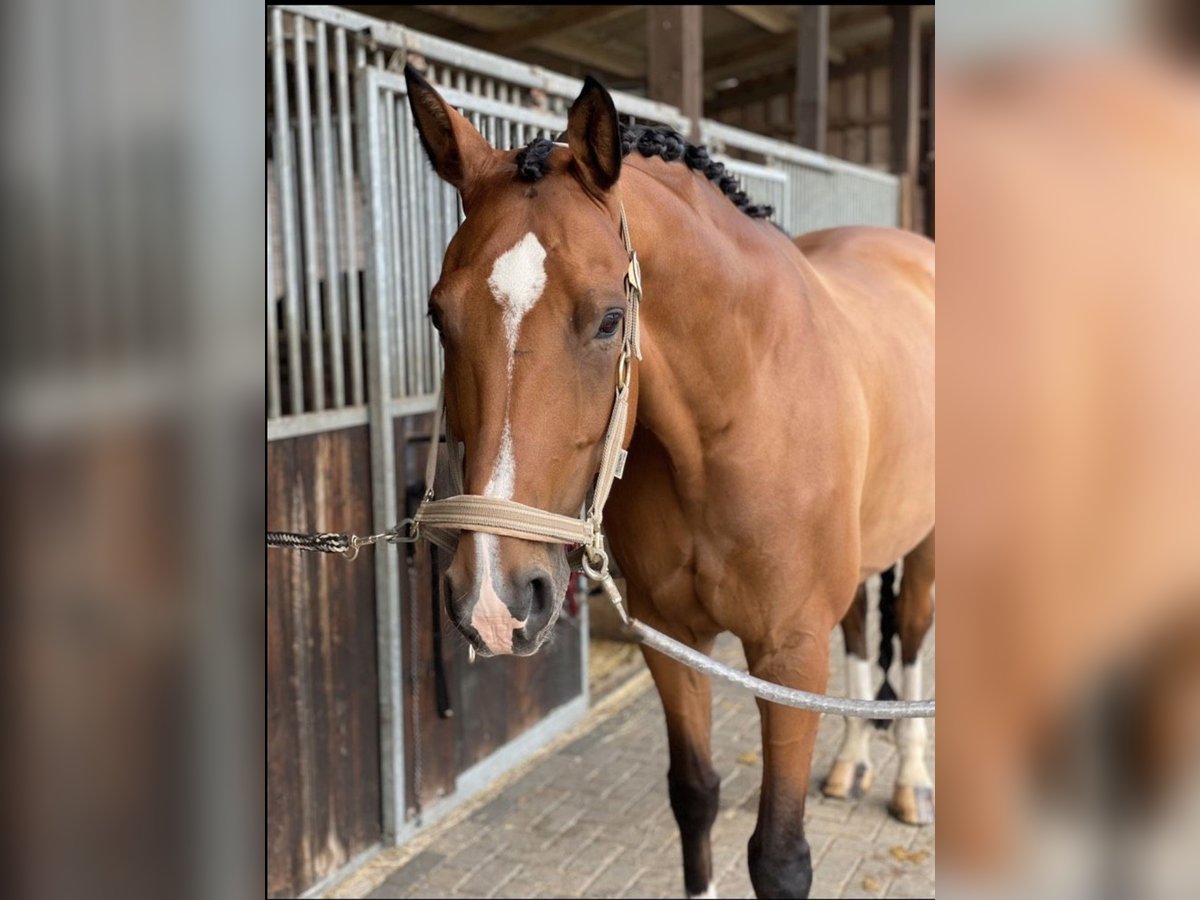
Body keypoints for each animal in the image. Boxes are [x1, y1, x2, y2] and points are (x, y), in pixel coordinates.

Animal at [405, 72, 936, 900]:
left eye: (608, 320)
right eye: (438, 313)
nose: (495, 597)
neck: (736, 414)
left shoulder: (790, 652)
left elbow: (780, 855)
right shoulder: (674, 639)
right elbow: (694, 796)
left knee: (909, 639)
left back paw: (910, 780)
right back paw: (850, 765)